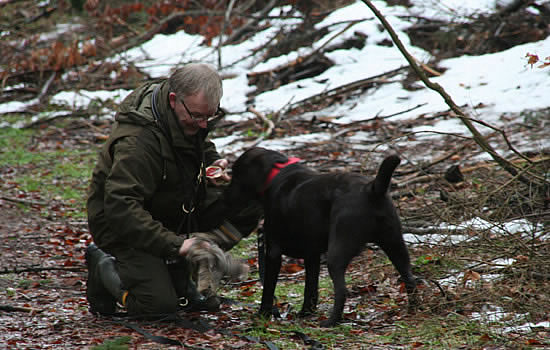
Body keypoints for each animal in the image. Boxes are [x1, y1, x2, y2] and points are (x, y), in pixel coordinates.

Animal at [224, 146, 418, 326]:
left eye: (235, 174)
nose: (224, 196)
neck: (276, 172)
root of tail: (371, 189)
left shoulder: (273, 252)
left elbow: (269, 289)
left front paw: (263, 314)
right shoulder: (312, 255)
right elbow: (310, 288)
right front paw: (306, 313)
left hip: (337, 253)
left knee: (341, 291)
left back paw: (331, 322)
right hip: (395, 244)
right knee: (409, 279)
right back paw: (414, 310)